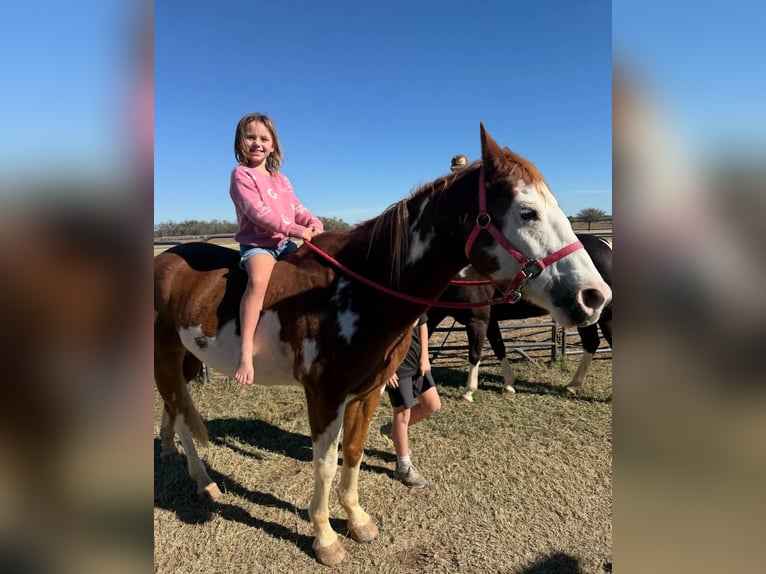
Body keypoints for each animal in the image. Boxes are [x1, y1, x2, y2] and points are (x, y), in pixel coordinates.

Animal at [427, 233, 612, 402]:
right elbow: (499, 347)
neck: (463, 276)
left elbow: (474, 353)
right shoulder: (489, 321)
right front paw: (508, 385)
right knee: (591, 343)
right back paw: (571, 386)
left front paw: (468, 393)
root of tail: (606, 244)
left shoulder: (477, 320)